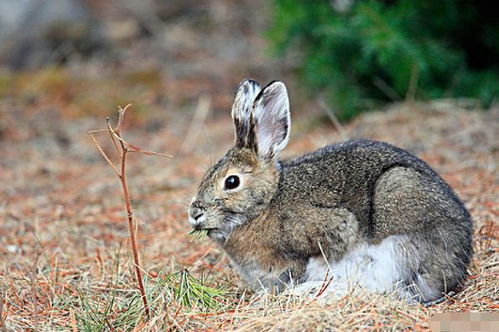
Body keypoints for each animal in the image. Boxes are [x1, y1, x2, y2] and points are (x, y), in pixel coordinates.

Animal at [188, 80, 472, 304]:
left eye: (232, 181)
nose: (194, 213)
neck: (265, 205)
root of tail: (458, 264)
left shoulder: (333, 228)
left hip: (398, 213)